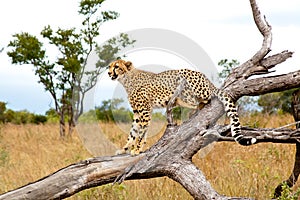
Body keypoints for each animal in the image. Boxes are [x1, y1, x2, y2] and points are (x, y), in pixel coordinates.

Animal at [108, 59, 255, 155]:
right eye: (109, 66)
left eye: (117, 66)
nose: (109, 73)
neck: (126, 79)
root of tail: (208, 81)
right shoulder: (138, 113)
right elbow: (133, 131)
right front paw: (125, 148)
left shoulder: (145, 112)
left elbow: (140, 132)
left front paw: (137, 149)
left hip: (185, 77)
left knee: (205, 99)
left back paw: (194, 110)